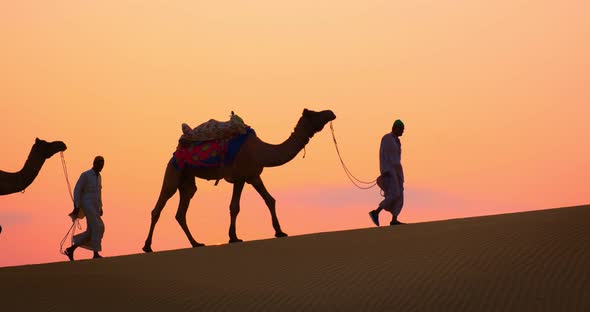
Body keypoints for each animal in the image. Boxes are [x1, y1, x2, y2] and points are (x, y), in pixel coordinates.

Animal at [143, 108, 336, 252]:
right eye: (315, 113)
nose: (331, 112)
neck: (261, 151)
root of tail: (177, 150)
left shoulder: (253, 176)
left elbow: (270, 200)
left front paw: (280, 232)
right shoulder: (240, 177)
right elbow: (234, 206)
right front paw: (233, 237)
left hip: (187, 180)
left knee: (181, 210)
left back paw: (196, 243)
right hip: (173, 171)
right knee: (159, 206)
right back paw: (147, 246)